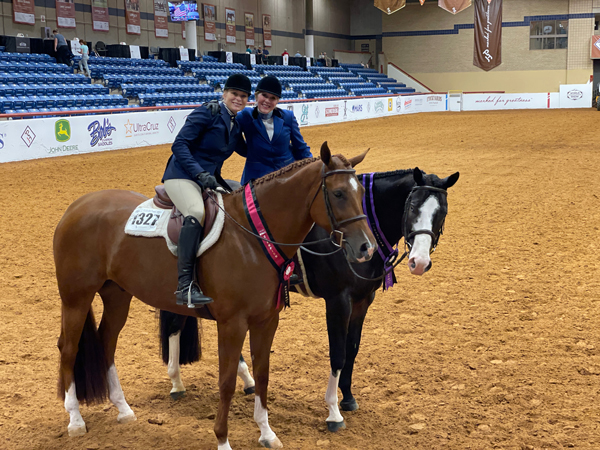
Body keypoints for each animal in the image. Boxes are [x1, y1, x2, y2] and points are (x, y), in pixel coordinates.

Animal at [55, 144, 376, 450]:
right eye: (338, 193)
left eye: (361, 192)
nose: (366, 248)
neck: (253, 238)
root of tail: (75, 207)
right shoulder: (232, 324)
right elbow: (227, 382)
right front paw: (223, 440)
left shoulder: (266, 320)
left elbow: (262, 375)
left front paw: (267, 433)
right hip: (76, 297)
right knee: (68, 348)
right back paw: (75, 419)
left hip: (117, 295)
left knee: (107, 341)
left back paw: (123, 409)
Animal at [159, 166, 460, 432]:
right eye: (413, 208)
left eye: (442, 213)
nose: (419, 262)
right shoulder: (338, 301)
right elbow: (338, 354)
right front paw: (334, 412)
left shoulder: (363, 300)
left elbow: (352, 349)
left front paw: (348, 397)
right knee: (174, 322)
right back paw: (176, 383)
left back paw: (245, 379)